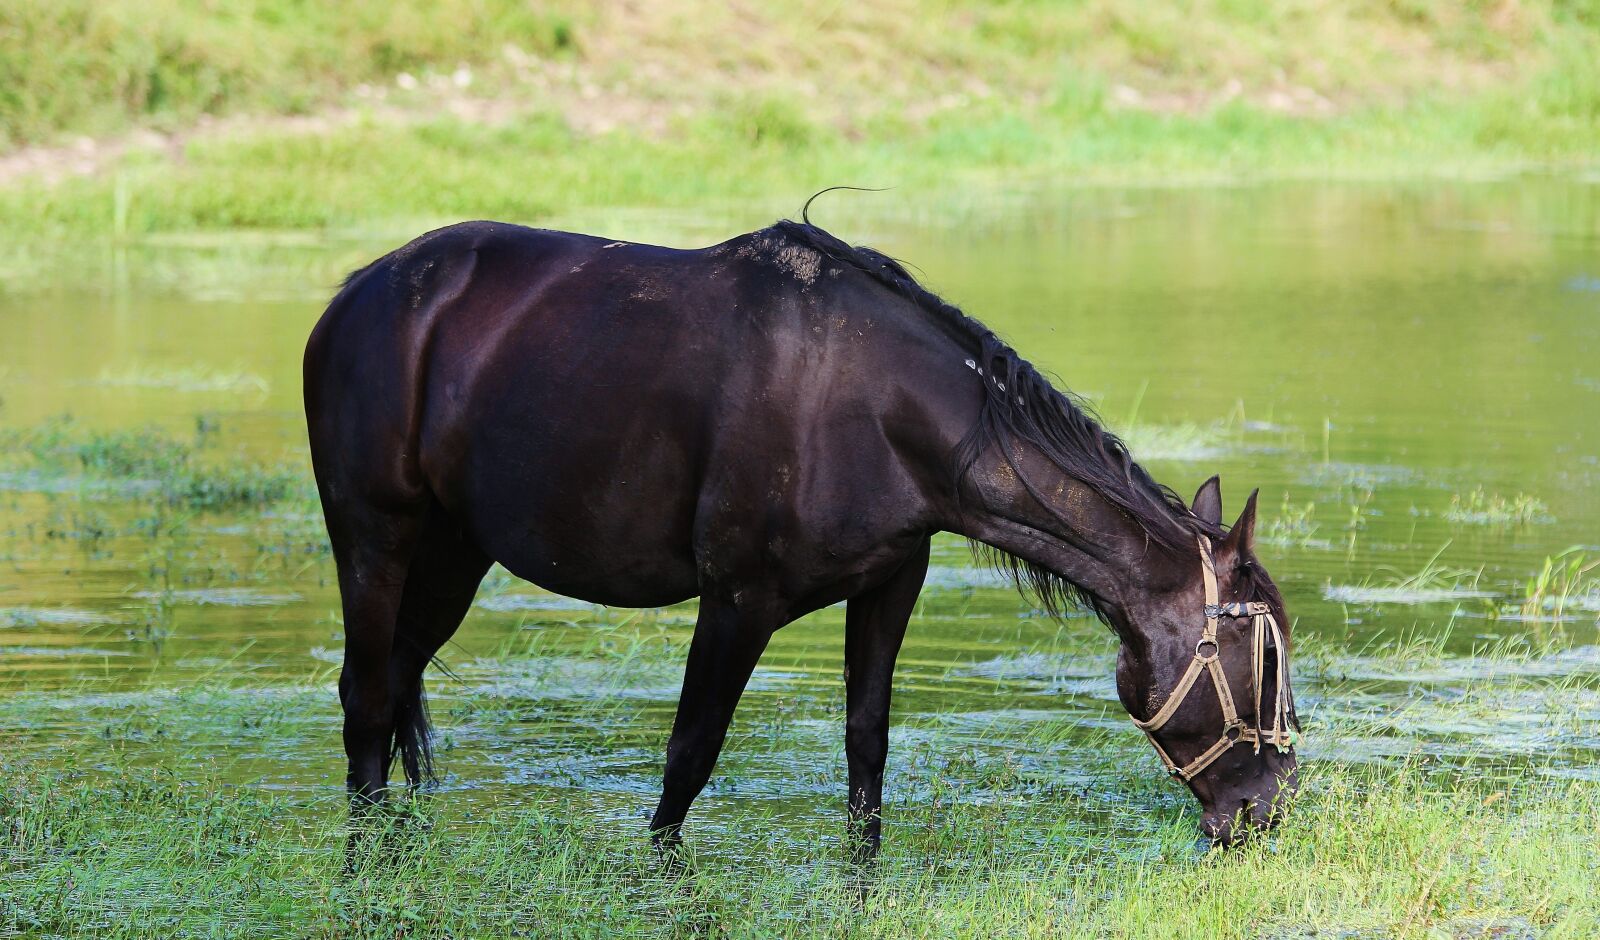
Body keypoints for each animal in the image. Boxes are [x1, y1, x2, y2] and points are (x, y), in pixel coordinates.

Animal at [303, 213, 1299, 862]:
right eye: (1264, 654)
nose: (1271, 807)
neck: (882, 409)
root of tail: (354, 297)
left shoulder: (889, 588)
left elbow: (867, 748)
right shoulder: (737, 604)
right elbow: (688, 758)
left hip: (454, 555)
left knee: (396, 687)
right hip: (376, 539)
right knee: (365, 698)